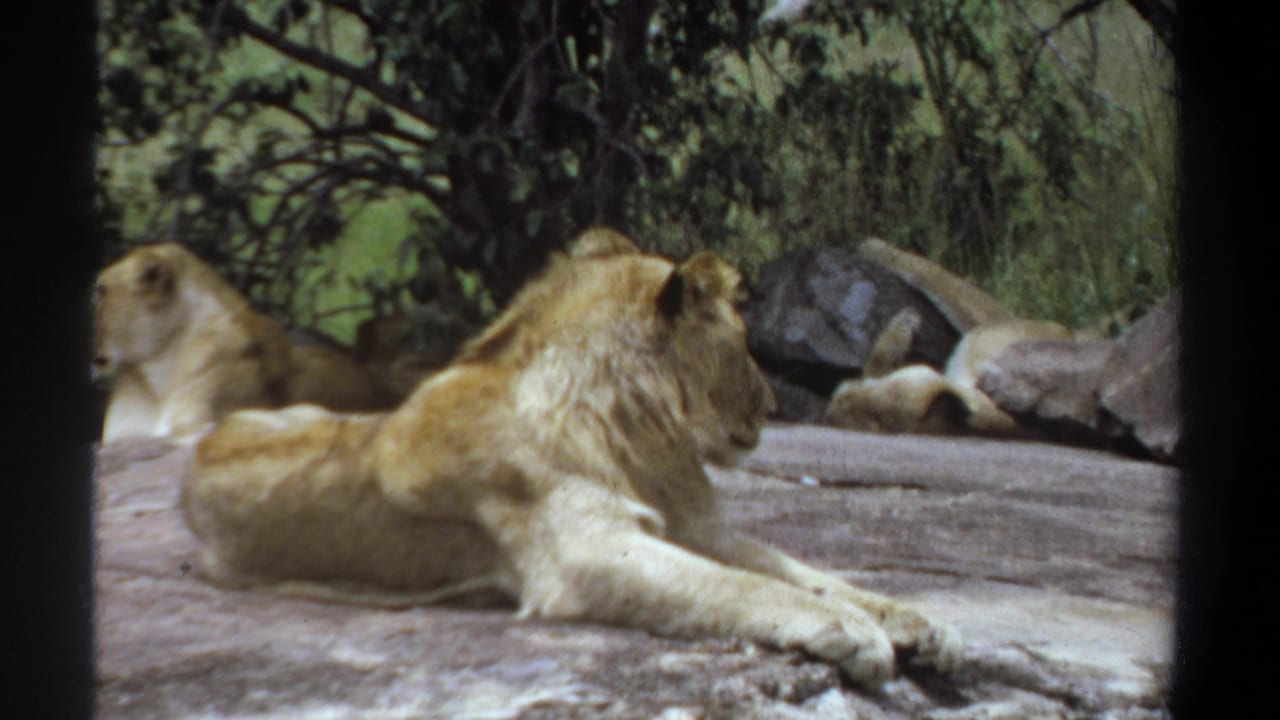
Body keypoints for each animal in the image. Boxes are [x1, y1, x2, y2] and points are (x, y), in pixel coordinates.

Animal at [182, 229, 963, 686]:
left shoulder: (697, 528)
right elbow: (744, 588)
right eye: (745, 344)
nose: (773, 405)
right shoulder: (585, 551)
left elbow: (809, 574)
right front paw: (854, 634)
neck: (640, 432)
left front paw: (917, 623)